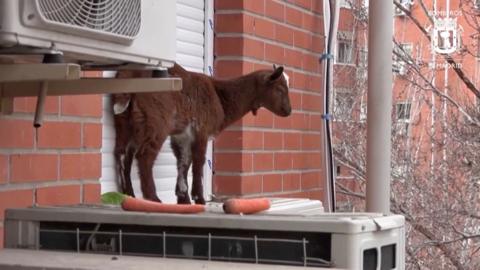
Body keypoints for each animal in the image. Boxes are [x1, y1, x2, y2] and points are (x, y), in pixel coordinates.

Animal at [113, 64, 292, 205]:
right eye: (280, 89)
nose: (289, 111)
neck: (220, 95)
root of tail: (130, 75)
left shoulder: (183, 135)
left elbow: (184, 162)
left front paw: (183, 198)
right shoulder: (201, 130)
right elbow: (198, 162)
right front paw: (198, 198)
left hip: (126, 120)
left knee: (122, 153)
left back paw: (127, 194)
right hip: (157, 119)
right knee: (144, 155)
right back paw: (152, 197)